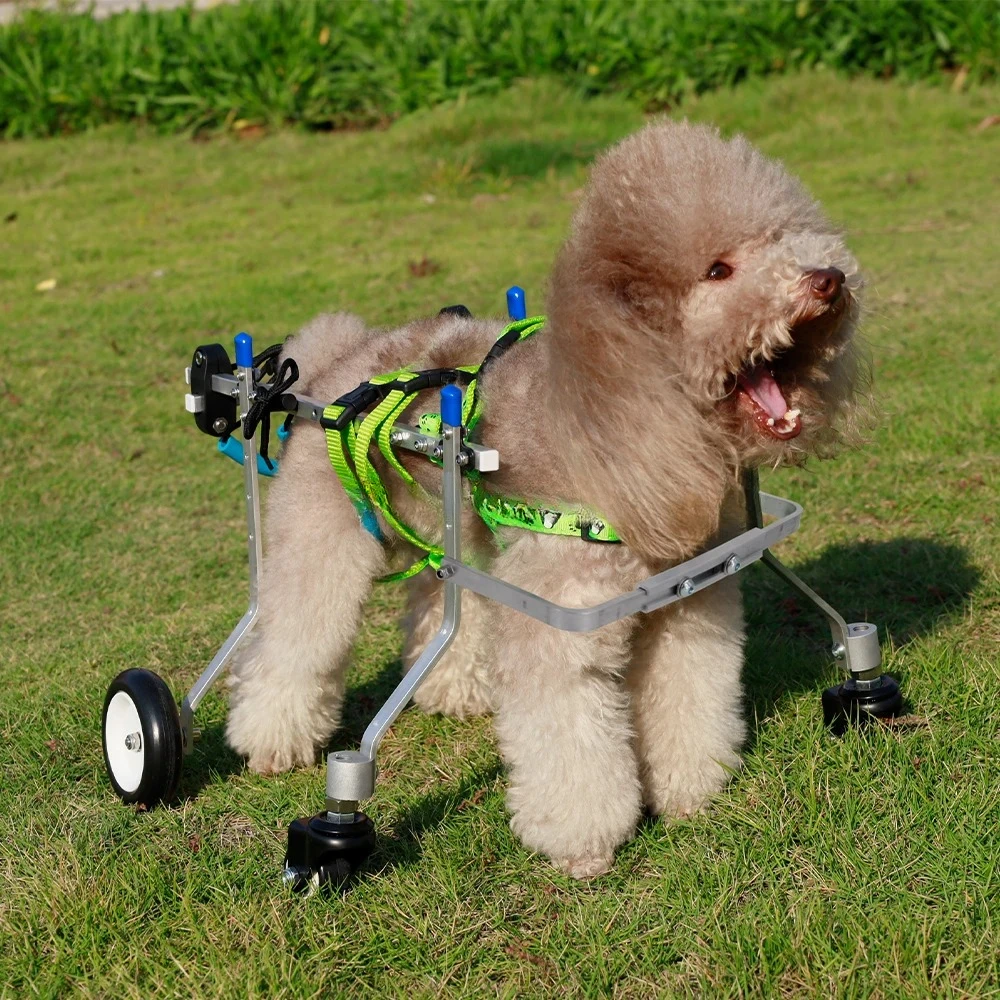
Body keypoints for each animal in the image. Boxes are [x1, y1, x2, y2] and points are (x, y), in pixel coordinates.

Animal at [223, 121, 864, 880]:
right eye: (717, 271)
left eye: (782, 238)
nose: (829, 280)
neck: (615, 422)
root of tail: (338, 359)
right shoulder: (563, 623)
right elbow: (573, 747)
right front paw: (583, 844)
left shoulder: (685, 605)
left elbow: (689, 700)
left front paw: (689, 792)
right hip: (322, 530)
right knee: (295, 633)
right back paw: (271, 740)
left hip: (454, 527)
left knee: (442, 600)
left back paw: (455, 689)